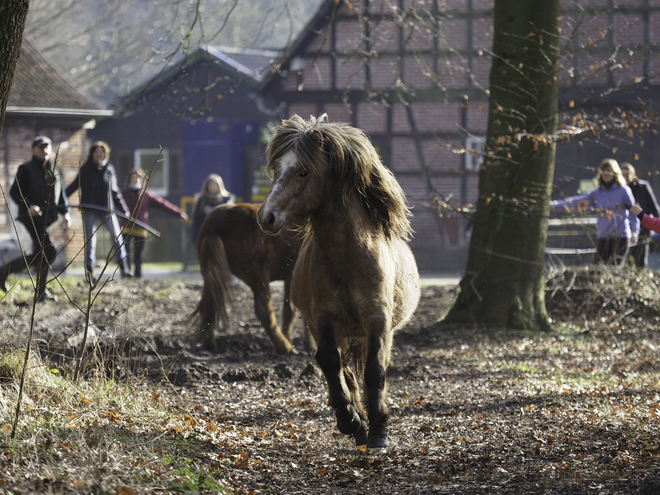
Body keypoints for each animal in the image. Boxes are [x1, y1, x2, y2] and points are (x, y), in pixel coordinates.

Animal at [192, 203, 302, 354]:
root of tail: (215, 223)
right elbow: (292, 309)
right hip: (258, 276)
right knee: (264, 311)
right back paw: (285, 346)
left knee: (210, 303)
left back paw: (208, 343)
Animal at [255, 115, 420, 450]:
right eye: (277, 170)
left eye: (303, 171)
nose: (266, 217)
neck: (348, 258)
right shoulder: (324, 318)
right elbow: (331, 363)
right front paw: (350, 421)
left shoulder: (378, 318)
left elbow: (375, 369)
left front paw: (379, 431)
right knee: (345, 369)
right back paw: (357, 425)